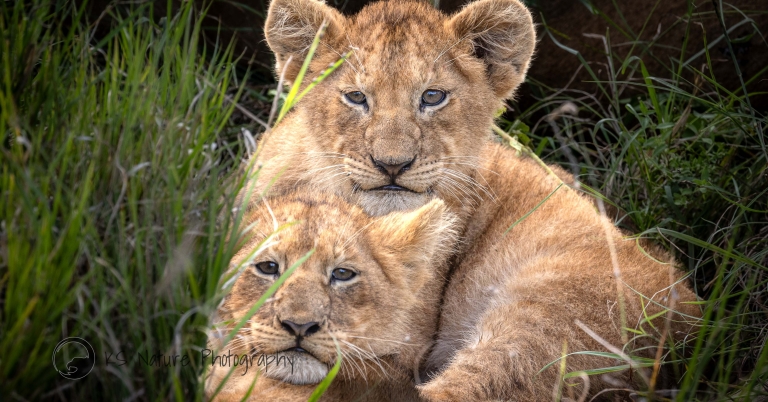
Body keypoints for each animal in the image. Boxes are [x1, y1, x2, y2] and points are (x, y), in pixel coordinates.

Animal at [229, 0, 702, 399]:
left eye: (432, 97)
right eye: (357, 97)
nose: (392, 165)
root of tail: (692, 317)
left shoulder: (399, 350)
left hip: (551, 315)